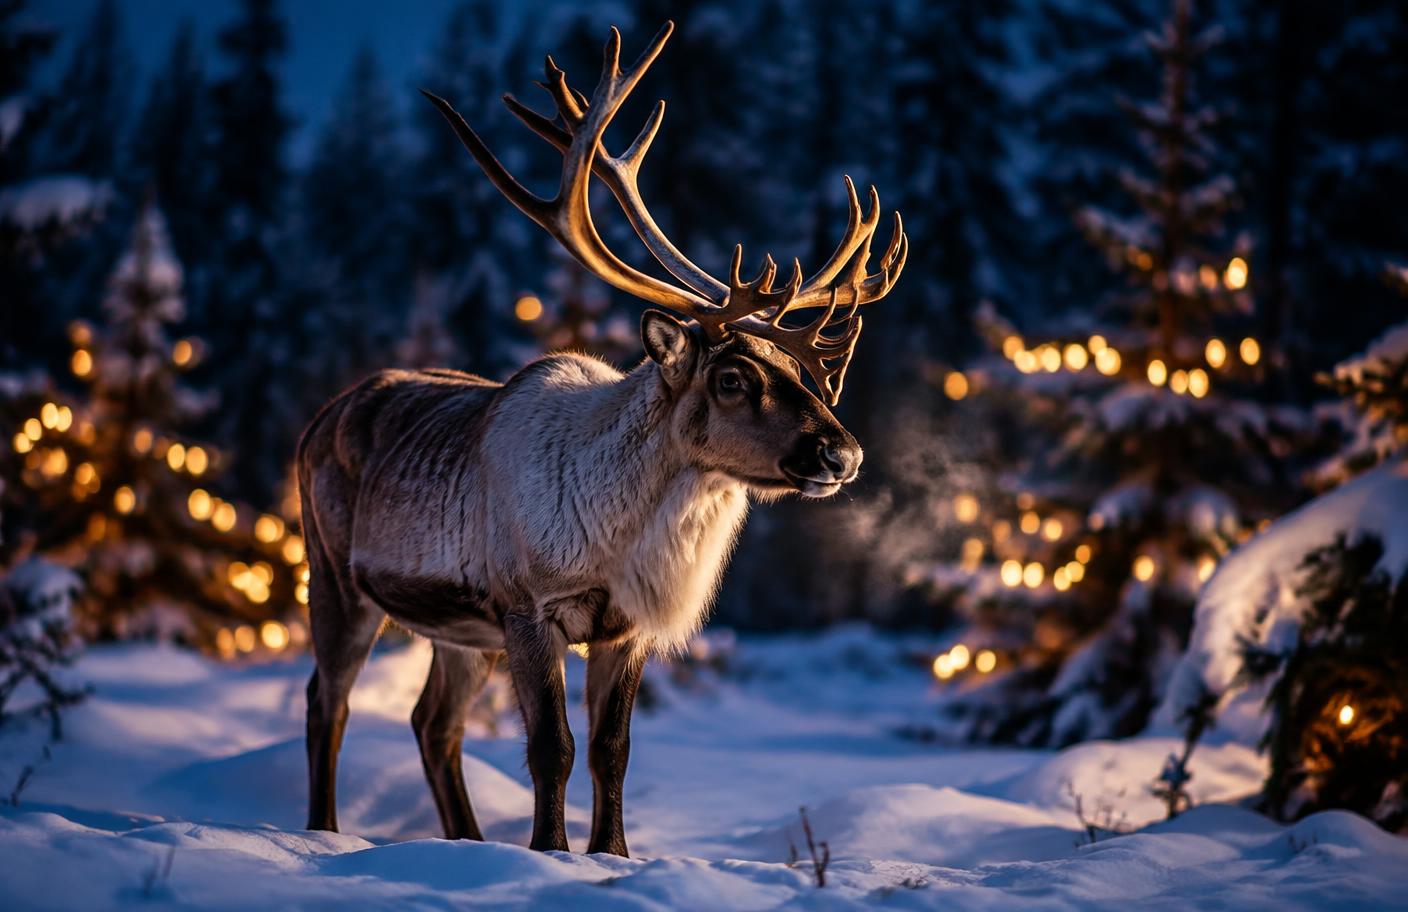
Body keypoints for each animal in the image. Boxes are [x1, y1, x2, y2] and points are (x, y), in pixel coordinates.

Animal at [297, 21, 906, 857]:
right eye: (732, 378)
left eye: (800, 372)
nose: (842, 454)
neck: (619, 537)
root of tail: (320, 416)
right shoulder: (529, 609)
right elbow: (551, 748)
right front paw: (549, 854)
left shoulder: (625, 631)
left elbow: (611, 752)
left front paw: (611, 855)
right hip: (337, 578)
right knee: (327, 702)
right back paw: (323, 833)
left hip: (460, 631)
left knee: (432, 723)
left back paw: (465, 843)